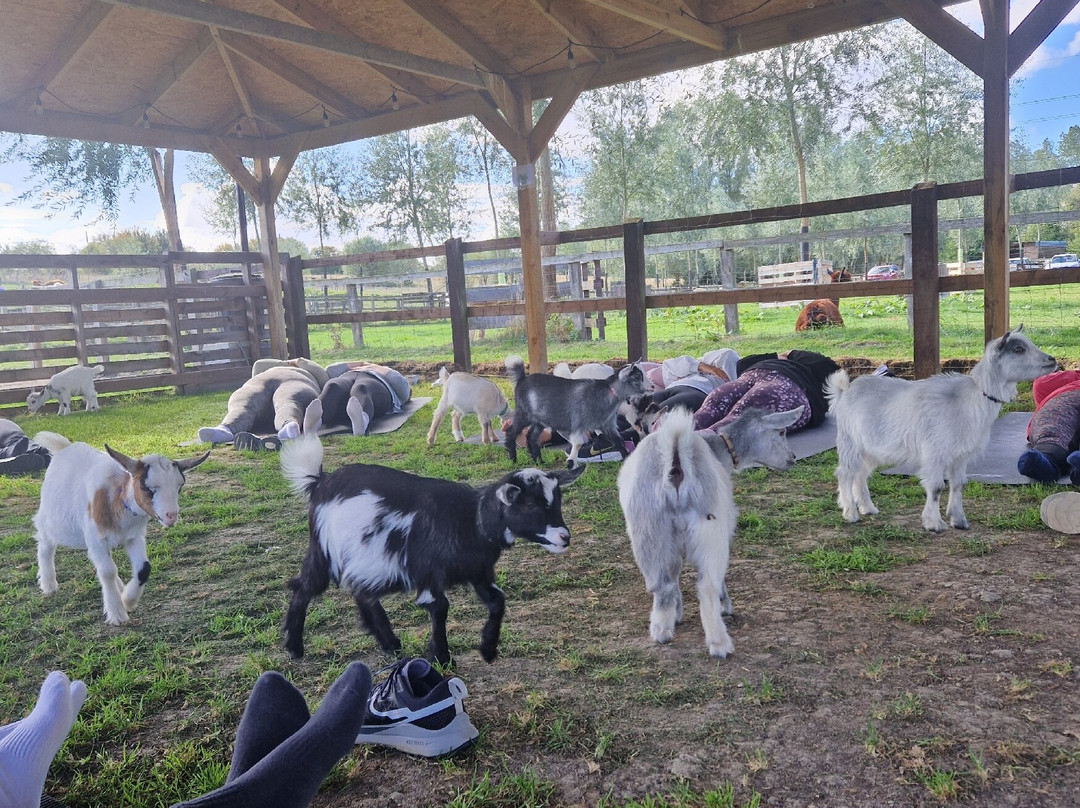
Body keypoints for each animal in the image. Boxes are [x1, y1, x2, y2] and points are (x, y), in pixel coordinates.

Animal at [32, 432, 209, 625]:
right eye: (145, 486)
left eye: (180, 486)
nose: (171, 516)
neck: (117, 498)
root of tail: (63, 447)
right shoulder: (97, 537)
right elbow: (107, 571)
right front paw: (117, 613)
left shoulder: (134, 537)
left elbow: (143, 568)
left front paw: (128, 601)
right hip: (53, 521)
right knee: (45, 545)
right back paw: (48, 584)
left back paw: (120, 587)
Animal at [282, 399, 585, 665]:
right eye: (530, 504)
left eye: (557, 501)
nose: (564, 537)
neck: (470, 519)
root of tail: (320, 481)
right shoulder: (428, 573)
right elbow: (440, 608)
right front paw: (442, 657)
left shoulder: (478, 571)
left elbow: (497, 601)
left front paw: (487, 649)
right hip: (323, 549)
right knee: (305, 587)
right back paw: (294, 647)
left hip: (368, 558)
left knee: (362, 592)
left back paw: (390, 643)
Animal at [504, 355, 647, 467]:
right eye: (638, 377)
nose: (649, 387)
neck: (608, 392)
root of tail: (522, 379)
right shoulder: (578, 422)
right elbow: (578, 442)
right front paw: (571, 461)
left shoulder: (607, 425)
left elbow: (619, 441)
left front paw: (627, 459)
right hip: (524, 413)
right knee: (511, 432)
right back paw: (513, 459)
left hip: (541, 419)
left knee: (531, 436)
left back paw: (538, 461)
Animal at [617, 406, 802, 657]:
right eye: (782, 432)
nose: (792, 458)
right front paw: (724, 607)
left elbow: (674, 574)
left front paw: (677, 614)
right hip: (710, 531)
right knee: (707, 587)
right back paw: (719, 643)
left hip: (649, 530)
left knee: (662, 584)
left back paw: (661, 631)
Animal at [827, 325, 1058, 532]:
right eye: (1018, 349)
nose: (1052, 360)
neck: (971, 399)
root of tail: (845, 390)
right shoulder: (935, 452)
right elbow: (937, 487)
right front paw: (934, 524)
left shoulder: (960, 455)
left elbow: (958, 484)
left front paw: (959, 520)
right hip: (849, 442)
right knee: (845, 473)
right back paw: (850, 513)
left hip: (872, 449)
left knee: (860, 474)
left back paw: (868, 508)